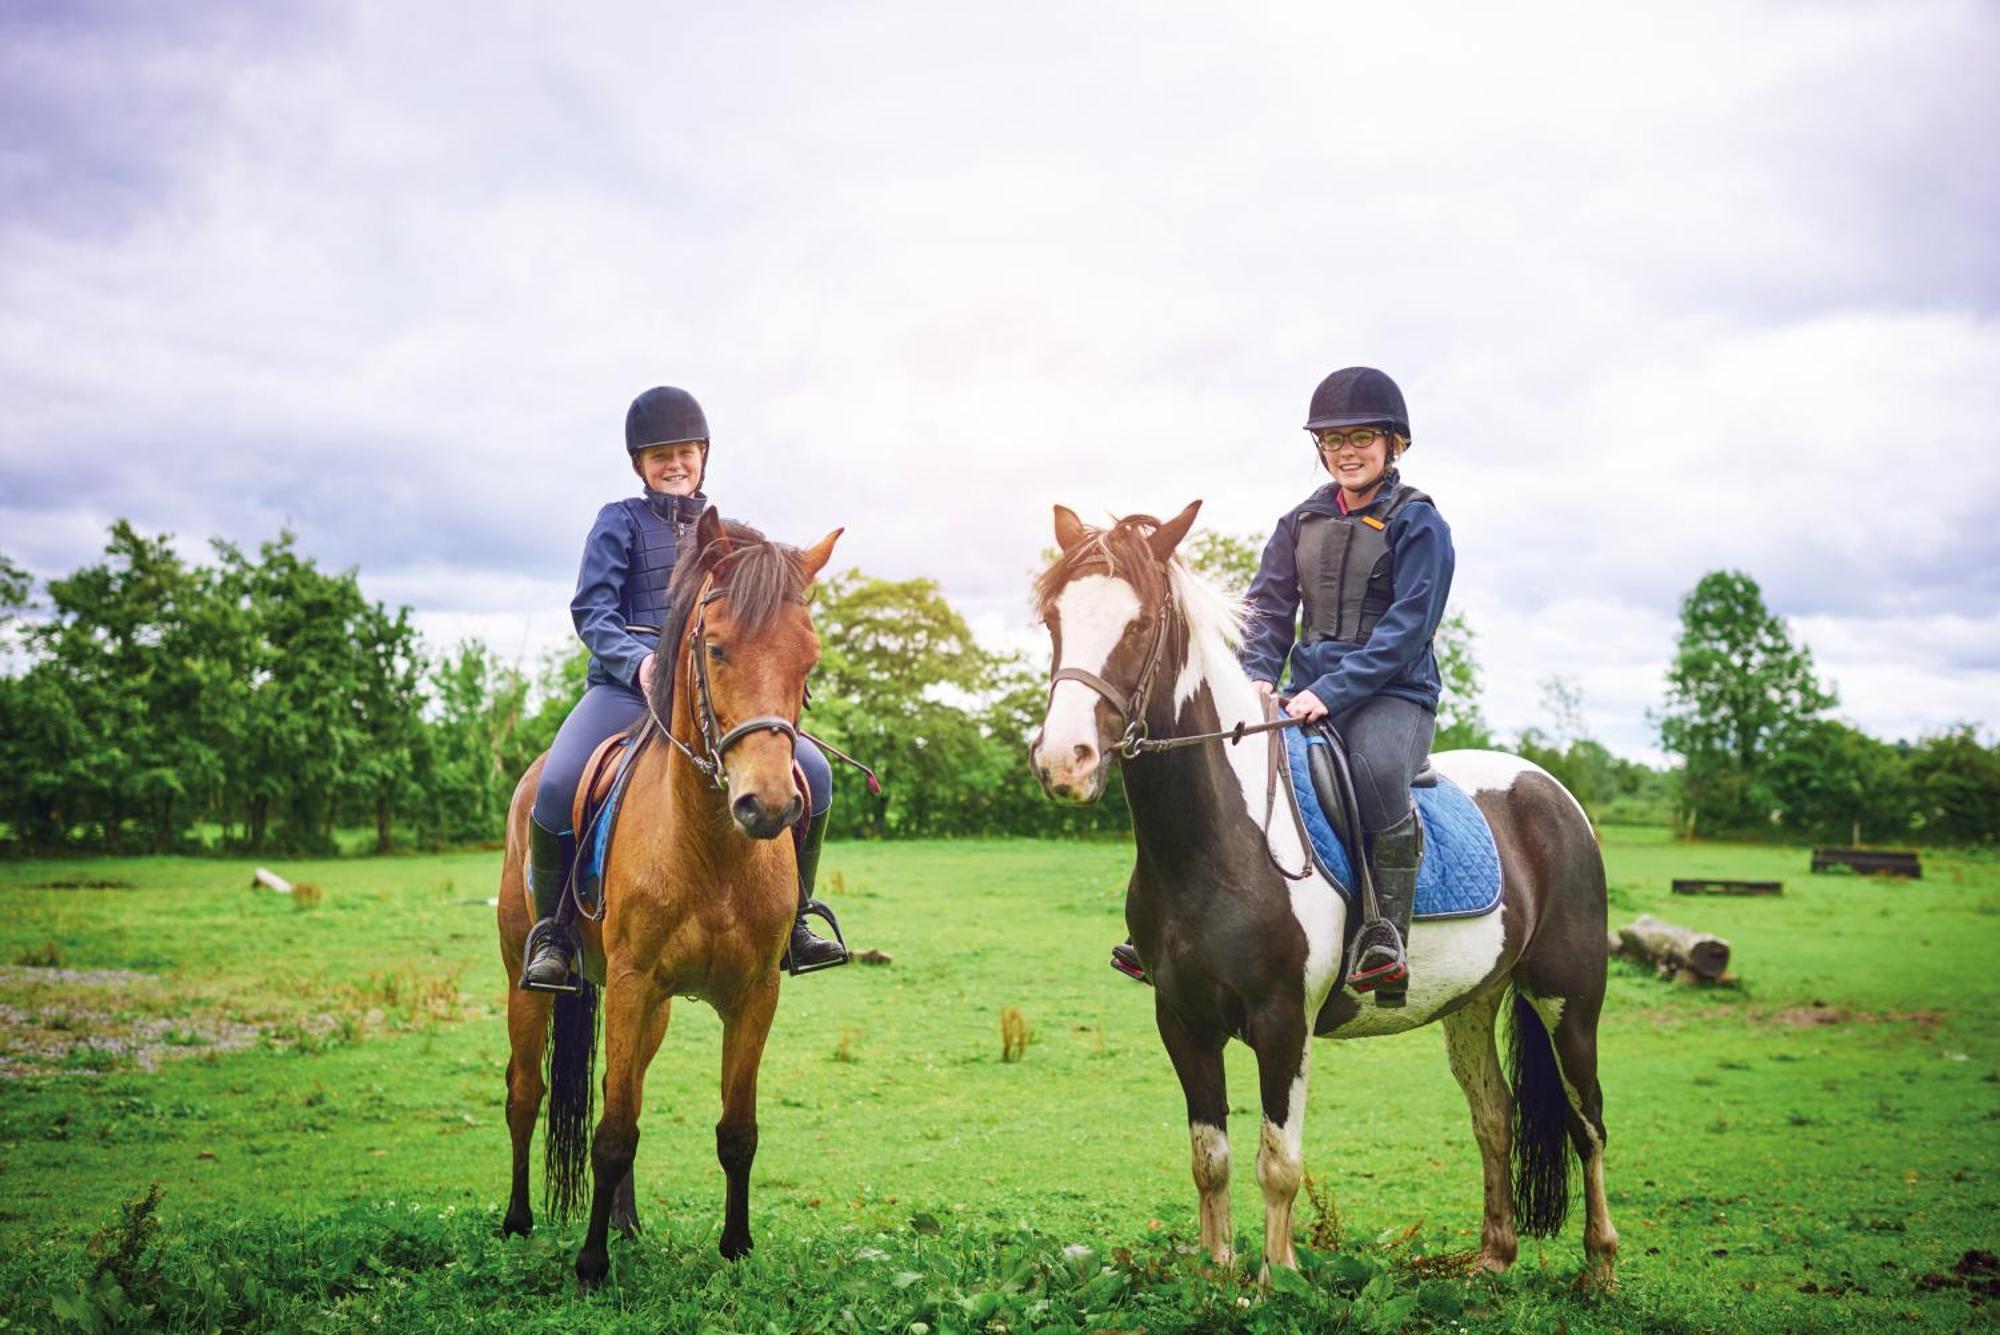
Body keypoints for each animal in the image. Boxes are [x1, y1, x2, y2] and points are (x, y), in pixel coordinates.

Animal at [504, 507, 848, 1279]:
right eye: (716, 648)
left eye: (809, 660)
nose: (768, 805)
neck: (712, 850)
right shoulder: (632, 985)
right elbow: (611, 1132)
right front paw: (591, 1264)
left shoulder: (753, 993)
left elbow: (735, 1129)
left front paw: (736, 1246)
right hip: (525, 979)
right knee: (524, 1092)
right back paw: (516, 1221)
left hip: (654, 1009)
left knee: (617, 1089)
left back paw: (626, 1222)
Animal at [1024, 499, 1616, 1279]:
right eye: (1053, 620)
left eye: (1142, 623)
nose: (1065, 761)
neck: (1221, 837)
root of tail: (1552, 791)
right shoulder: (1181, 1019)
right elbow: (1209, 1157)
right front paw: (1216, 1270)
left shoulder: (1284, 1021)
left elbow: (1278, 1161)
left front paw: (1278, 1278)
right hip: (1471, 1001)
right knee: (1494, 1114)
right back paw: (1493, 1259)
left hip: (1567, 999)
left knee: (1589, 1123)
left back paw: (1601, 1269)